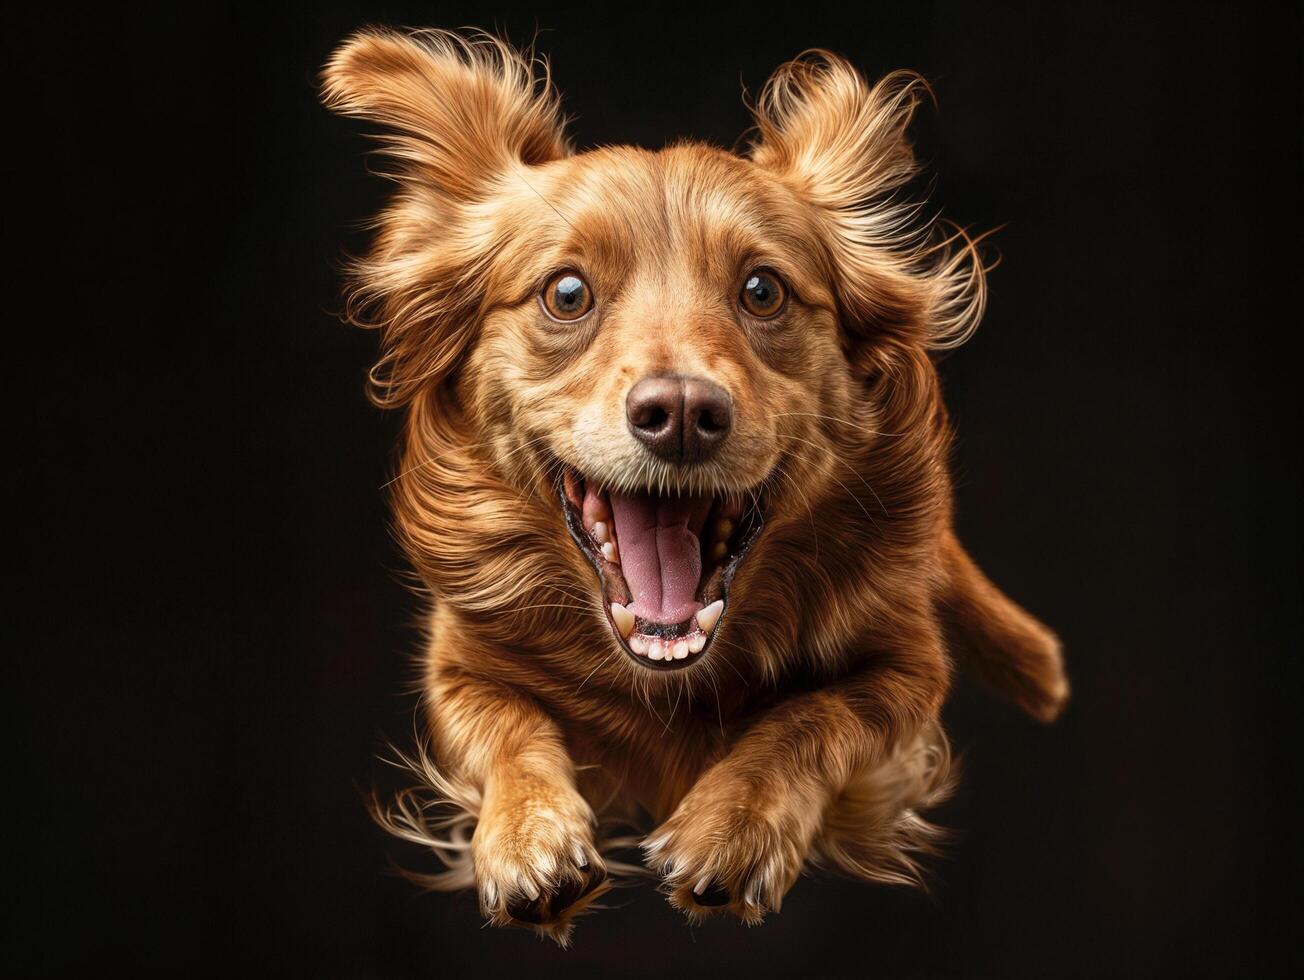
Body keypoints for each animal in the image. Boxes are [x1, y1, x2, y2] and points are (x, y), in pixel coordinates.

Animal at [320, 28, 1064, 943]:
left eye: (763, 290)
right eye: (567, 292)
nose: (679, 413)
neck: (666, 683)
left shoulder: (908, 666)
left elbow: (810, 717)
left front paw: (730, 827)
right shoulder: (456, 665)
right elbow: (506, 724)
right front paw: (527, 834)